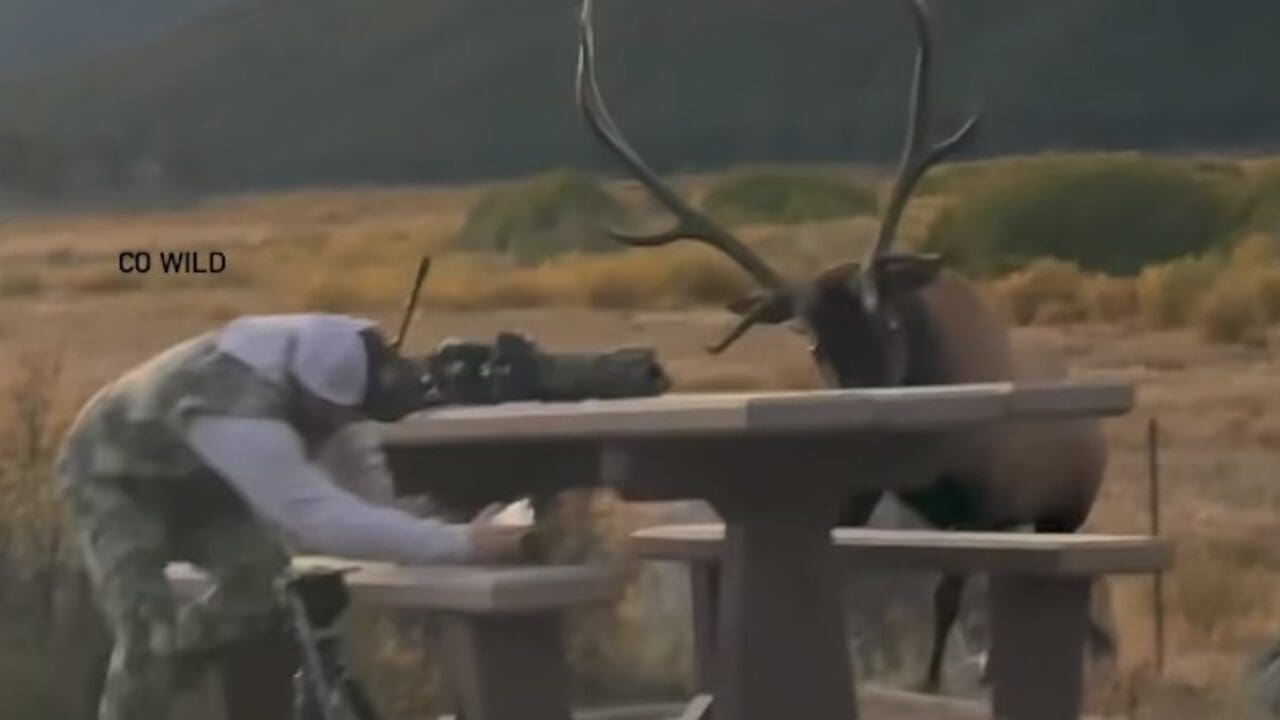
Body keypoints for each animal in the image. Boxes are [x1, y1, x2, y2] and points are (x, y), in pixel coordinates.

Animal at [575, 0, 1113, 693]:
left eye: (889, 325)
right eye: (814, 349)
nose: (863, 419)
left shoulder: (985, 507)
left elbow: (947, 598)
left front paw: (929, 685)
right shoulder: (860, 495)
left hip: (1065, 510)